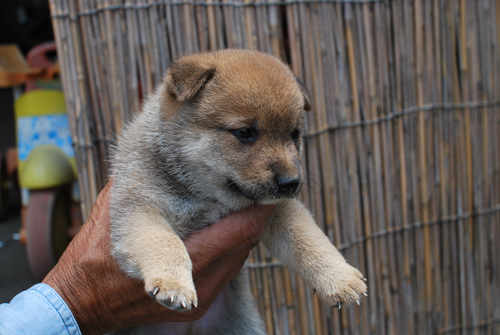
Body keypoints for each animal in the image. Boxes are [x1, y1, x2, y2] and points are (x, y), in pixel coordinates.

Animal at [110, 48, 368, 334]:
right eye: (244, 132)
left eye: (294, 134)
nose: (291, 182)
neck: (206, 196)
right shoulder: (139, 209)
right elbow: (165, 243)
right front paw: (174, 283)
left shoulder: (278, 211)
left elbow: (310, 239)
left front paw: (340, 278)